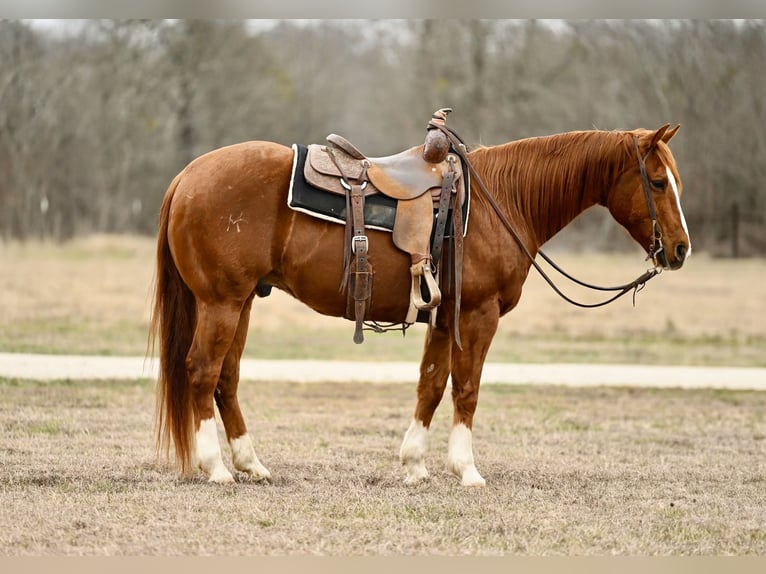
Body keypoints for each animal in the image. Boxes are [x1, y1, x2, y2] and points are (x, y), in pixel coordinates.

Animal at [148, 124, 688, 488]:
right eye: (658, 182)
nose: (681, 249)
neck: (501, 202)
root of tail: (187, 176)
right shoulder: (476, 315)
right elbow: (466, 389)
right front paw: (466, 469)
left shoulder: (444, 318)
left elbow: (430, 384)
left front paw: (414, 464)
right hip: (221, 302)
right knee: (202, 371)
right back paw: (216, 467)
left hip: (241, 303)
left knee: (227, 377)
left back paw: (251, 463)